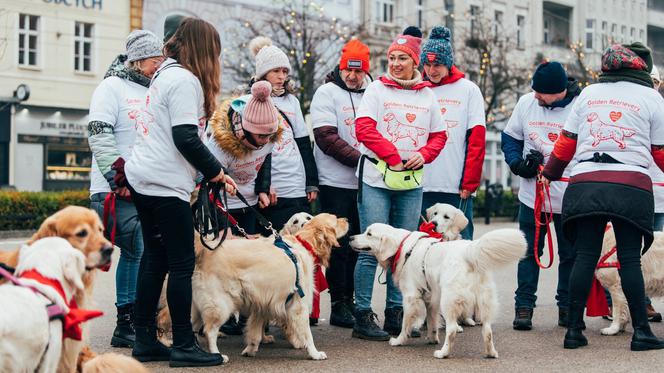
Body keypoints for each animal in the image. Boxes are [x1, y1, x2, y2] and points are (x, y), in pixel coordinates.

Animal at [189, 214, 348, 358]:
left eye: (309, 217)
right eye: (336, 219)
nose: (346, 219)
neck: (304, 243)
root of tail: (205, 250)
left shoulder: (263, 301)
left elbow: (255, 331)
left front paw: (250, 349)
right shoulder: (298, 305)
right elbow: (307, 335)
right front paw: (314, 353)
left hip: (198, 306)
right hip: (220, 305)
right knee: (209, 331)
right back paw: (217, 355)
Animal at [350, 224, 528, 358]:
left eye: (369, 234)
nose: (351, 237)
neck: (402, 247)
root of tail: (469, 252)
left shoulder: (410, 297)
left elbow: (406, 323)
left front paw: (399, 340)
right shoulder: (432, 297)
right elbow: (432, 321)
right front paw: (432, 338)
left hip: (449, 300)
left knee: (452, 329)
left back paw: (443, 353)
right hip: (483, 302)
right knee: (488, 330)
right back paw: (490, 353)